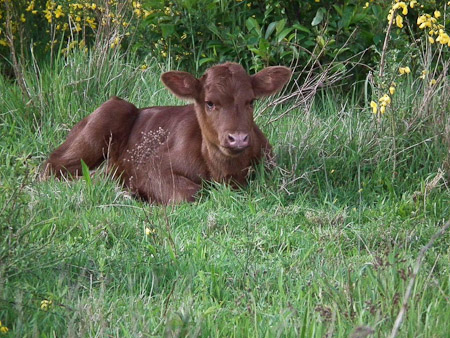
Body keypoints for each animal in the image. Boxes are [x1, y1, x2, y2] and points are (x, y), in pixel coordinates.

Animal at [44, 62, 292, 203]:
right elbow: (191, 193)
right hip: (108, 114)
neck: (223, 173)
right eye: (210, 103)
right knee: (54, 169)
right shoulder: (151, 167)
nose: (237, 138)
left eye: (251, 101)